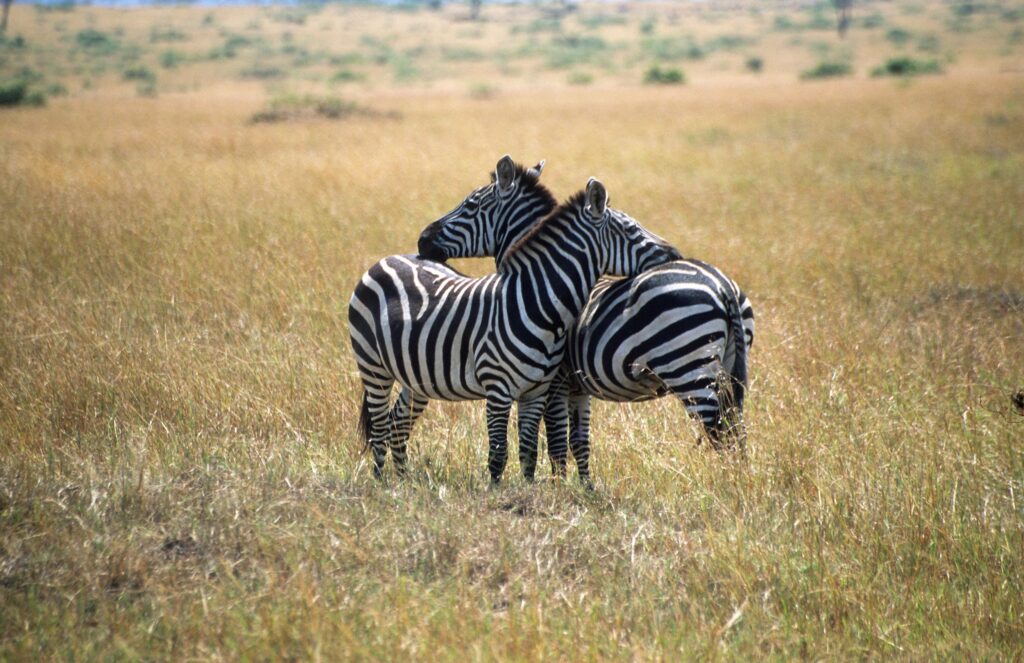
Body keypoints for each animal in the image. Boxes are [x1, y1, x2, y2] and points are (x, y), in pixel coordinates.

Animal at [350, 166, 679, 481]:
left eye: (470, 204)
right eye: (632, 229)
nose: (422, 240)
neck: (535, 300)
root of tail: (389, 259)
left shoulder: (543, 389)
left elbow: (540, 447)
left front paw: (553, 489)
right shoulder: (525, 388)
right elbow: (537, 447)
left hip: (413, 375)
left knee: (395, 423)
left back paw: (400, 481)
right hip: (377, 367)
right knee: (382, 426)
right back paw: (386, 483)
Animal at [415, 157, 753, 485]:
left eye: (470, 205)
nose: (421, 241)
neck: (542, 284)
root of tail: (722, 285)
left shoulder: (555, 382)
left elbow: (554, 439)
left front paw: (557, 484)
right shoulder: (578, 387)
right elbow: (578, 440)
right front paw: (583, 487)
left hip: (689, 369)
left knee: (720, 435)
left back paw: (725, 485)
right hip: (727, 371)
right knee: (737, 433)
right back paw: (739, 484)